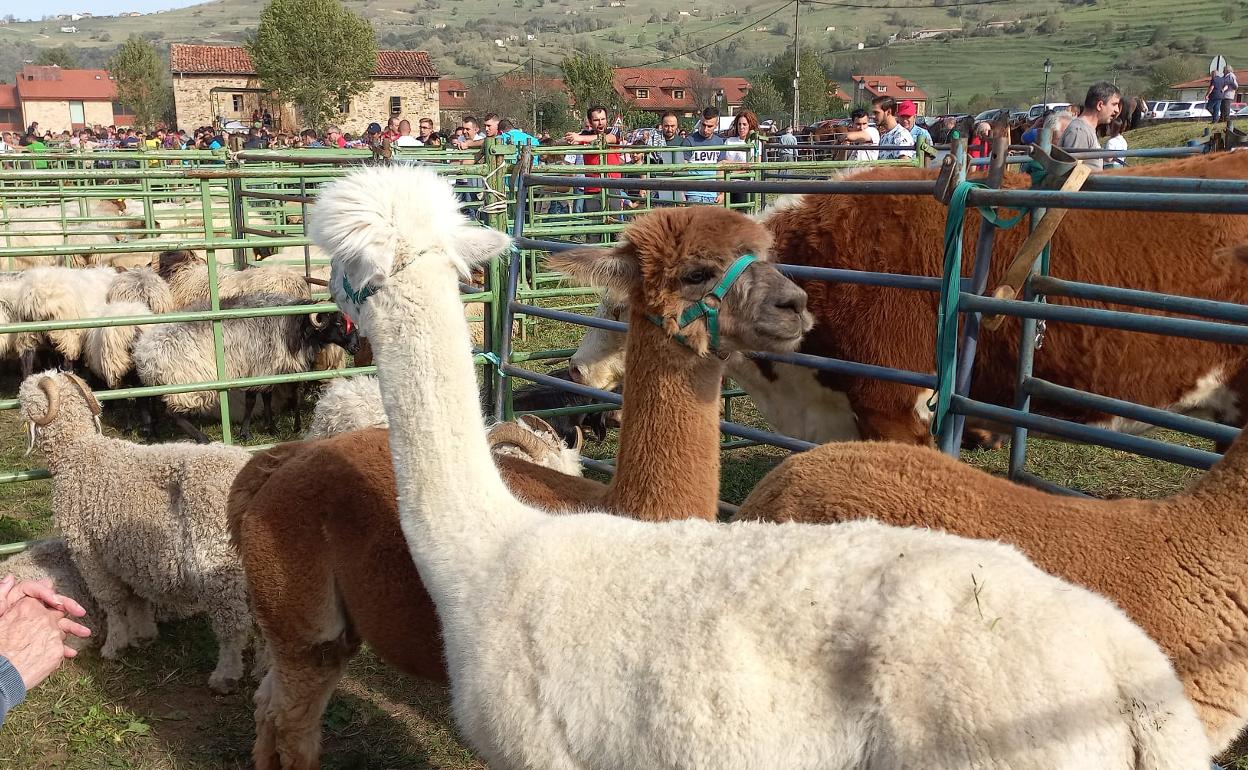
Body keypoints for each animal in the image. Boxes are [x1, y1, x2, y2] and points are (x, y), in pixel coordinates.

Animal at [18, 369, 255, 693]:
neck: (78, 453)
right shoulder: (129, 553)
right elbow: (137, 597)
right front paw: (143, 635)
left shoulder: (88, 552)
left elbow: (113, 603)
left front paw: (114, 646)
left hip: (218, 563)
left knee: (234, 624)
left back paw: (226, 675)